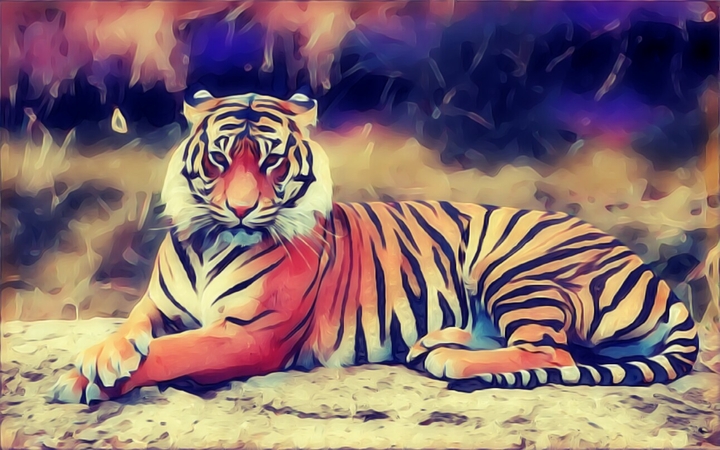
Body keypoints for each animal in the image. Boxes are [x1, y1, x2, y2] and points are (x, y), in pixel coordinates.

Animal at [52, 90, 699, 404]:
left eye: (272, 161)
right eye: (218, 158)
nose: (239, 209)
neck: (213, 240)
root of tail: (656, 276)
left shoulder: (251, 335)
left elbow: (172, 352)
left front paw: (85, 380)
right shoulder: (157, 306)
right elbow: (131, 330)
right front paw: (101, 357)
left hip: (516, 265)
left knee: (552, 352)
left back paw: (450, 359)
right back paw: (436, 341)